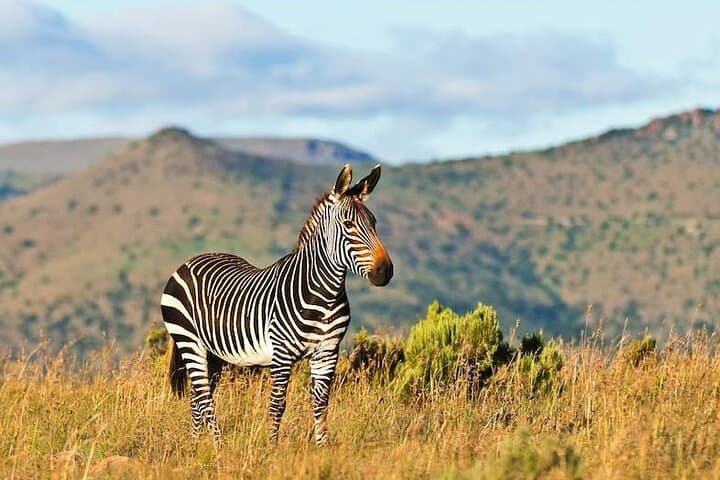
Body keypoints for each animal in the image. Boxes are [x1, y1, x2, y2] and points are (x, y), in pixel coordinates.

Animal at [160, 164, 393, 446]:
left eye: (374, 223)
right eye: (348, 224)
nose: (385, 271)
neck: (324, 295)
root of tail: (189, 261)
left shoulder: (327, 351)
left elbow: (321, 403)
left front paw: (323, 446)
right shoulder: (281, 354)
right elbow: (277, 405)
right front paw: (272, 447)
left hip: (212, 352)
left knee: (197, 398)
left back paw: (196, 443)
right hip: (188, 340)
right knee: (204, 398)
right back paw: (218, 445)